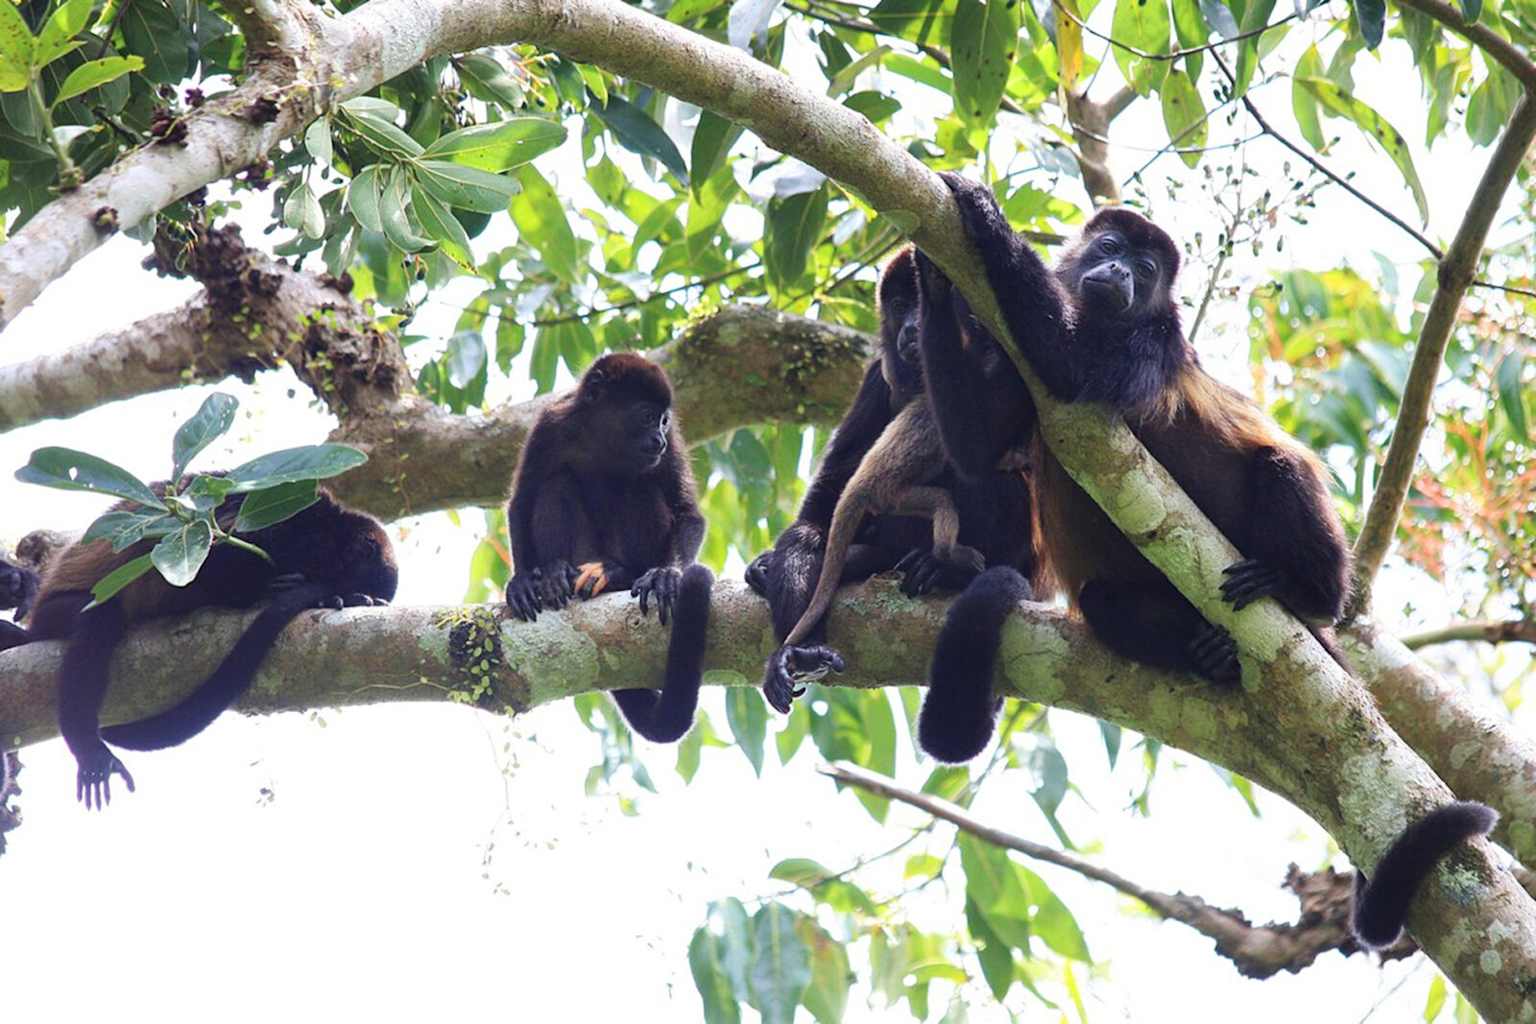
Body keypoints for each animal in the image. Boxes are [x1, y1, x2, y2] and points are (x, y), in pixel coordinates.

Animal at [0, 485, 397, 809]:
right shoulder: (283, 521)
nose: (363, 592)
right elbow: (214, 558)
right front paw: (322, 591)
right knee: (100, 618)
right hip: (57, 613)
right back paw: (89, 751)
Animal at [505, 352, 712, 745]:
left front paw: (666, 575)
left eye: (664, 420)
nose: (659, 439)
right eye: (646, 416)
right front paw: (522, 581)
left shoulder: (674, 443)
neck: (603, 441)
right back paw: (556, 573)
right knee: (556, 484)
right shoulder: (548, 426)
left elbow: (687, 512)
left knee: (639, 487)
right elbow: (522, 500)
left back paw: (619, 573)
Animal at [749, 247, 1041, 714]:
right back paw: (803, 649)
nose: (911, 327)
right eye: (901, 305)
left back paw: (944, 567)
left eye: (917, 304)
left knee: (991, 485)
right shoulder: (875, 377)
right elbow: (832, 482)